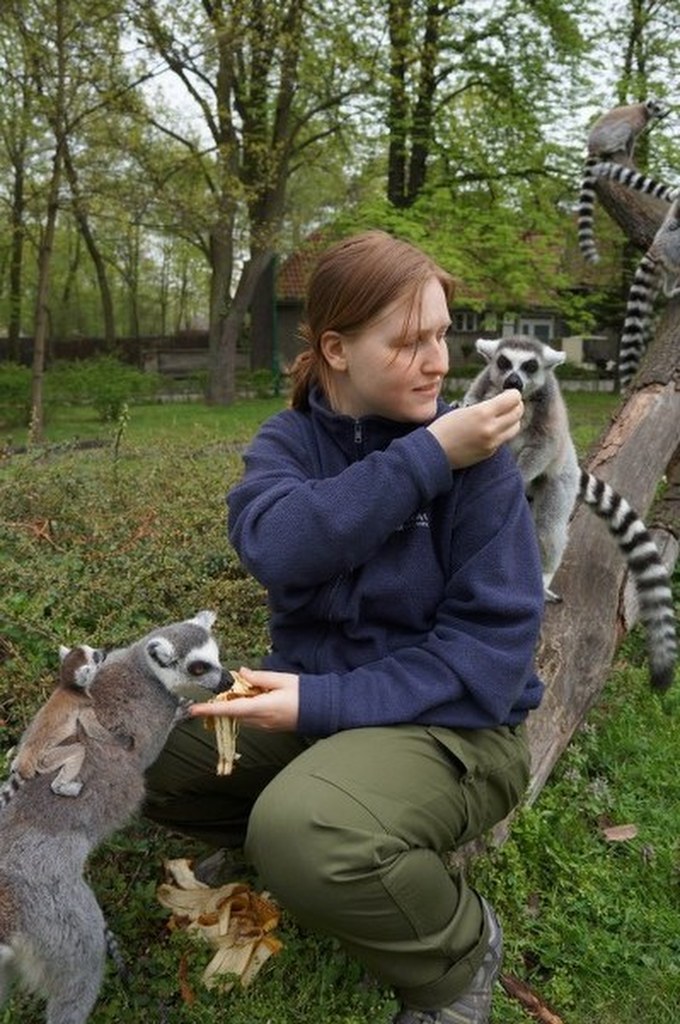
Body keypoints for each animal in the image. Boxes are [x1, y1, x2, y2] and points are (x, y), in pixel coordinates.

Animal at [0, 610, 232, 1024]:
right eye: (199, 667)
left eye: (217, 657)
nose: (229, 680)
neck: (141, 665)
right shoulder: (150, 714)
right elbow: (146, 749)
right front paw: (181, 710)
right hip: (55, 912)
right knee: (80, 971)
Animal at [463, 336, 677, 691]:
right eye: (504, 363)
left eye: (530, 366)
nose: (513, 381)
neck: (521, 400)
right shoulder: (483, 388)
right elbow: (474, 403)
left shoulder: (547, 407)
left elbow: (545, 443)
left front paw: (513, 476)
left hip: (557, 481)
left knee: (548, 529)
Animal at [578, 98, 669, 264]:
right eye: (657, 108)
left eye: (662, 107)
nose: (663, 114)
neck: (643, 109)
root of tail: (592, 146)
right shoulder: (636, 124)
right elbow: (631, 139)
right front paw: (628, 155)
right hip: (609, 136)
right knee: (624, 128)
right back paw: (614, 148)